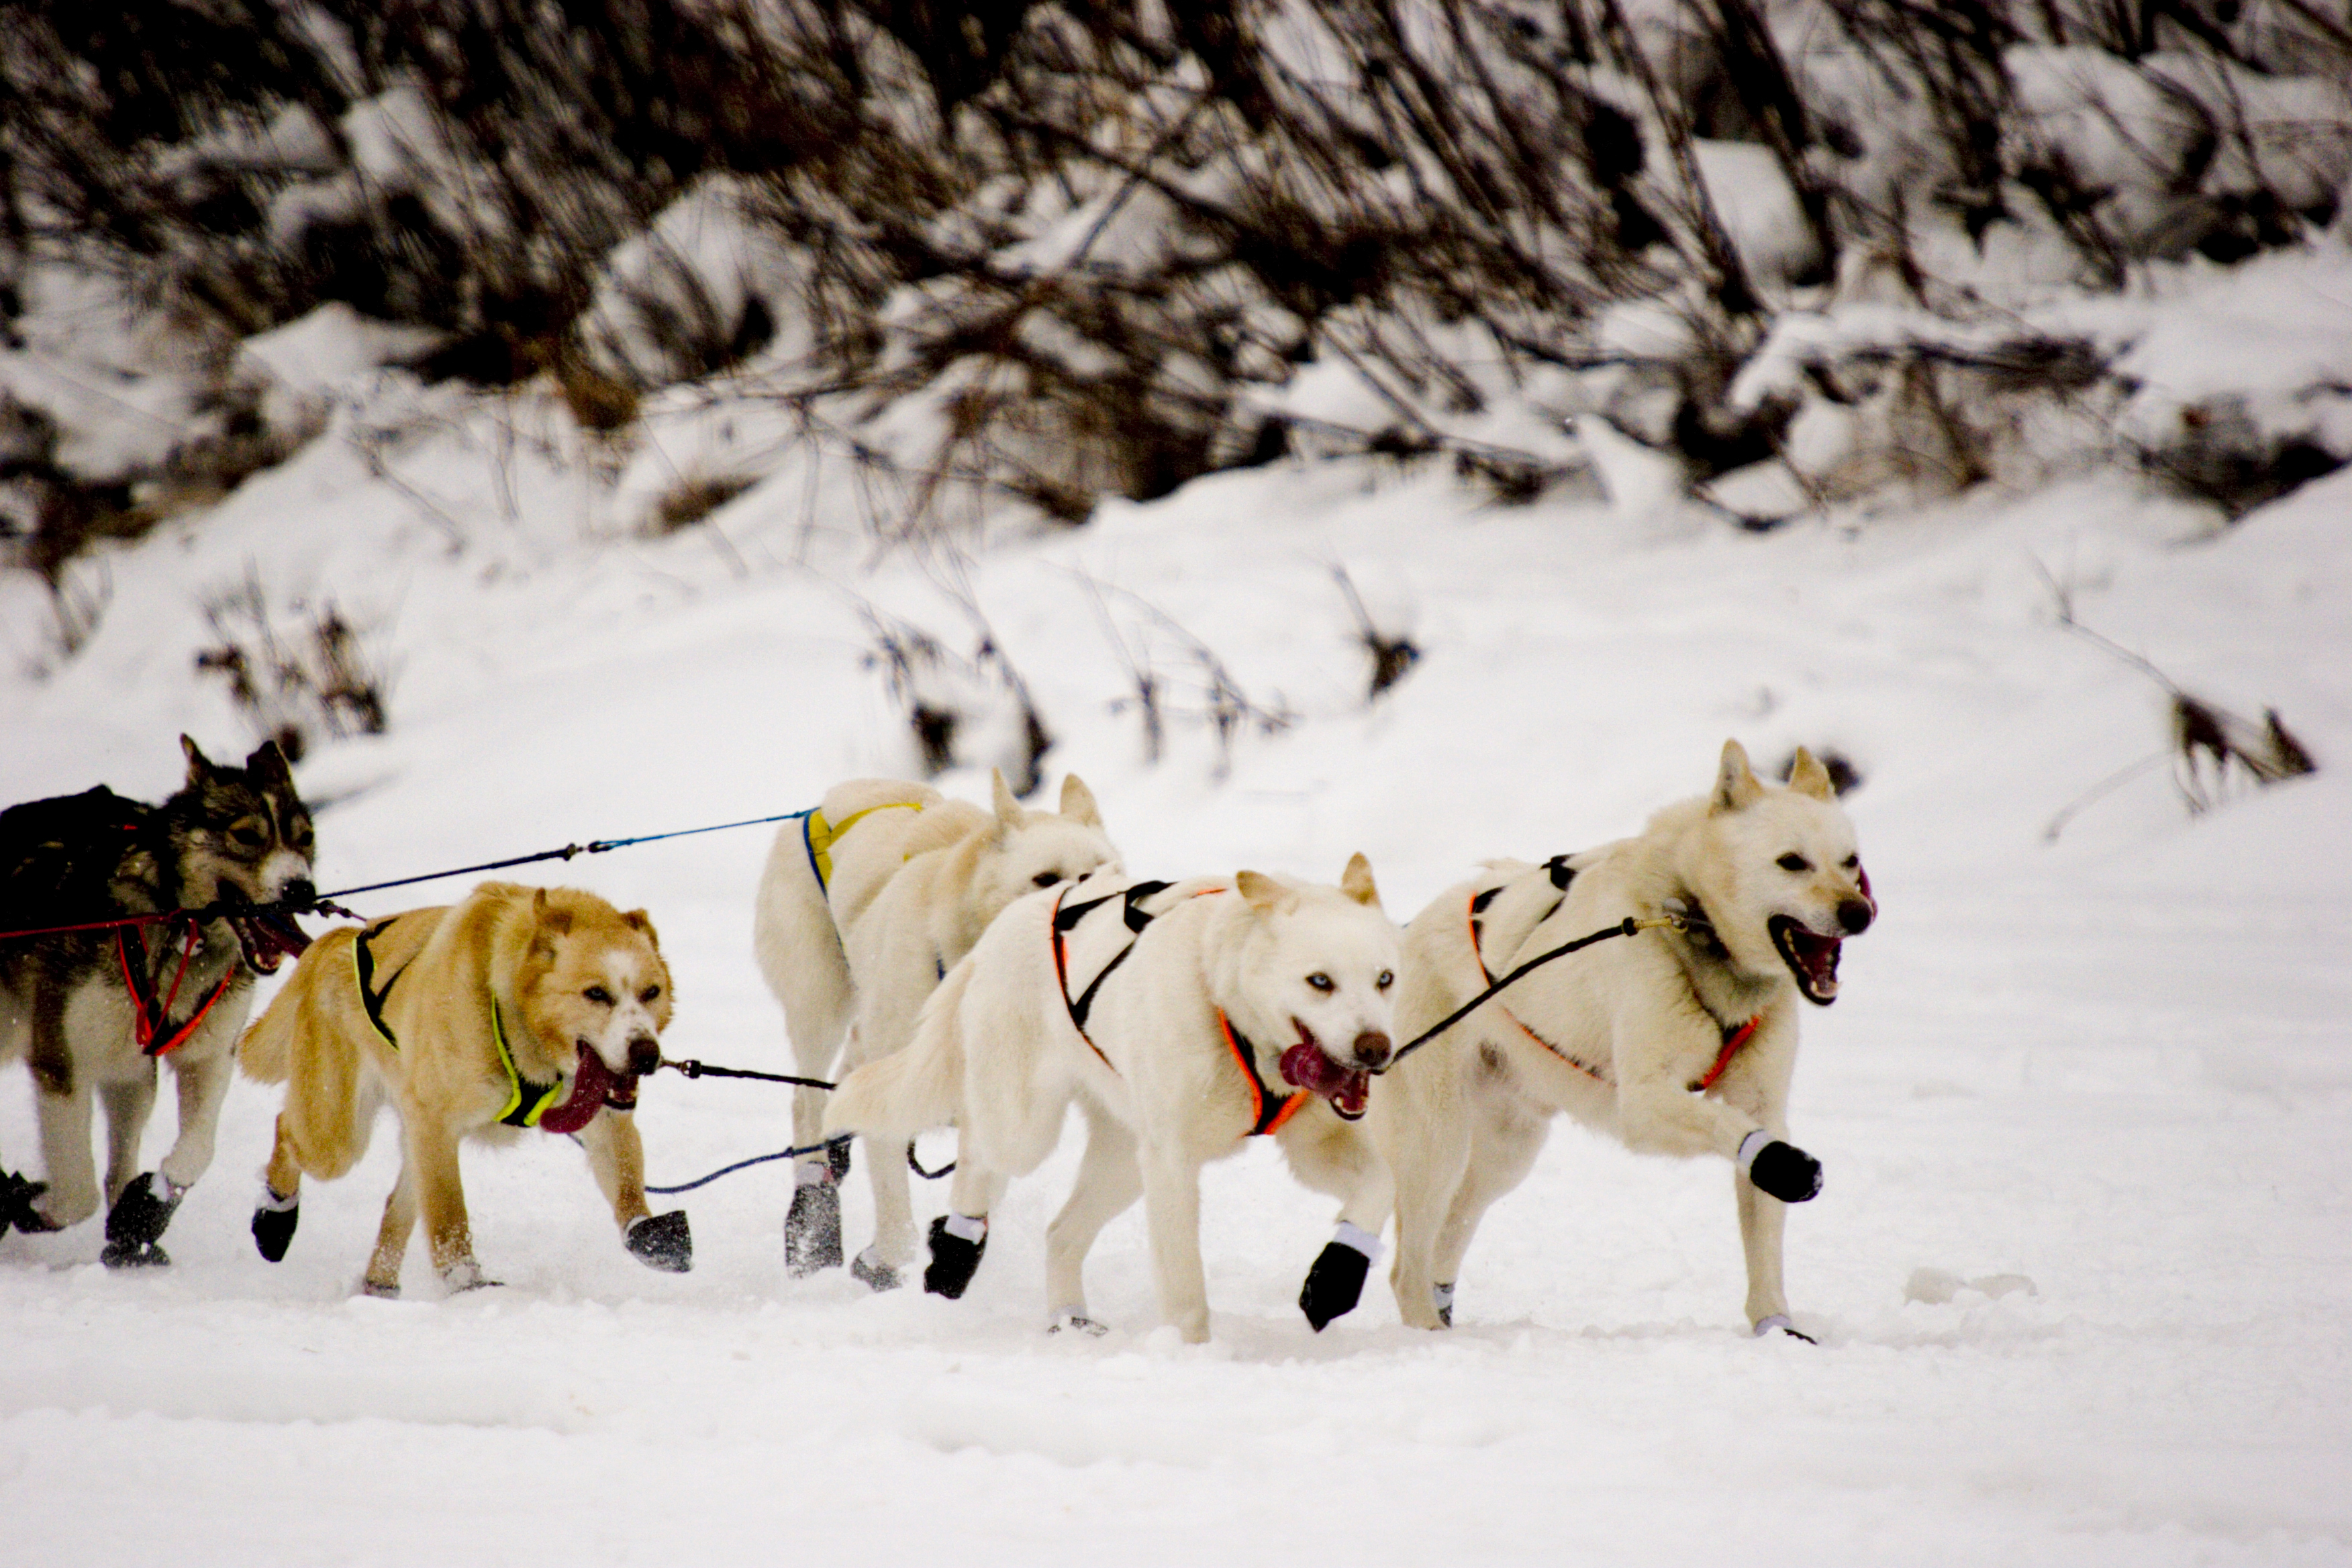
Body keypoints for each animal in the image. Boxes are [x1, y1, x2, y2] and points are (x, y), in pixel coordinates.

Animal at [240, 883, 687, 1297]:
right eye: (596, 993)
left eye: (651, 992)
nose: (647, 1054)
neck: (511, 1015)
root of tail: (334, 942)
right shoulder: (435, 1124)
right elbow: (449, 1215)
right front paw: (467, 1285)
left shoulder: (605, 1119)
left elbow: (627, 1183)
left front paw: (649, 1231)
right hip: (339, 1139)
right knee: (287, 1129)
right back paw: (275, 1216)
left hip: (410, 1140)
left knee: (395, 1205)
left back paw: (379, 1286)